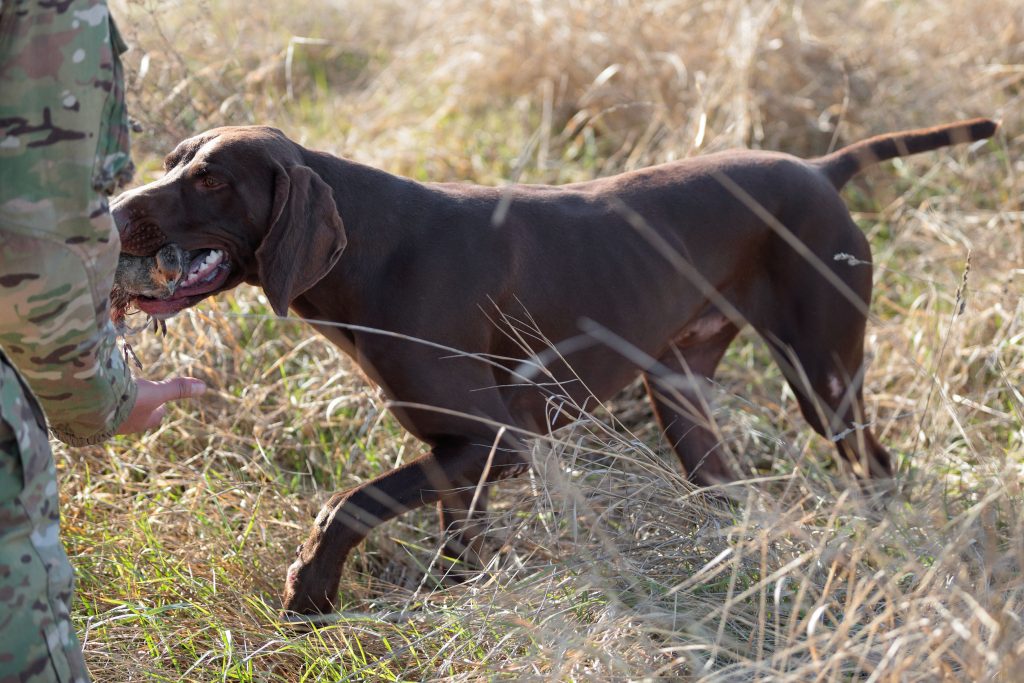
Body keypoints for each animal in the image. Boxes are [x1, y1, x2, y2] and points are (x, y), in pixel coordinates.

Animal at [112, 116, 999, 614]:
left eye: (212, 179)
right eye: (172, 161)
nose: (114, 209)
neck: (373, 249)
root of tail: (819, 167)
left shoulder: (498, 441)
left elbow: (348, 504)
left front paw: (311, 593)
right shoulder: (458, 455)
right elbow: (456, 538)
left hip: (823, 375)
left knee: (874, 463)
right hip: (682, 397)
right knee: (731, 489)